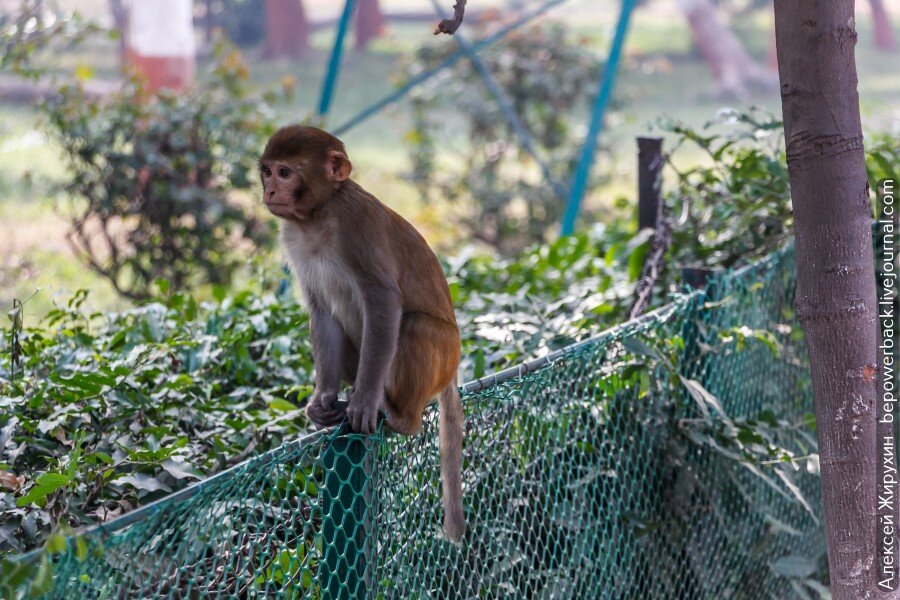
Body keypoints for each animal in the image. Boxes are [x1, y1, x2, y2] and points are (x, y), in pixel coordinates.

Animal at [258, 124, 464, 540]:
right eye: (267, 171)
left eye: (285, 173)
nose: (269, 192)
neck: (316, 216)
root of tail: (452, 370)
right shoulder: (293, 238)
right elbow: (322, 312)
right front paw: (321, 400)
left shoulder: (357, 227)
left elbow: (383, 302)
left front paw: (365, 402)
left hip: (442, 356)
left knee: (414, 324)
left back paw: (400, 417)